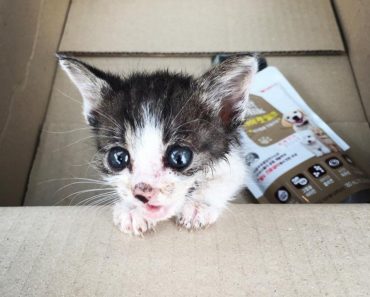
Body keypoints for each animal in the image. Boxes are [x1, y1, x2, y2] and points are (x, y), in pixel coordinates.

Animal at [58, 53, 260, 234]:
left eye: (179, 157)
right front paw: (131, 210)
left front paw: (198, 206)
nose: (142, 193)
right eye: (118, 157)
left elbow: (229, 178)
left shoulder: (236, 158)